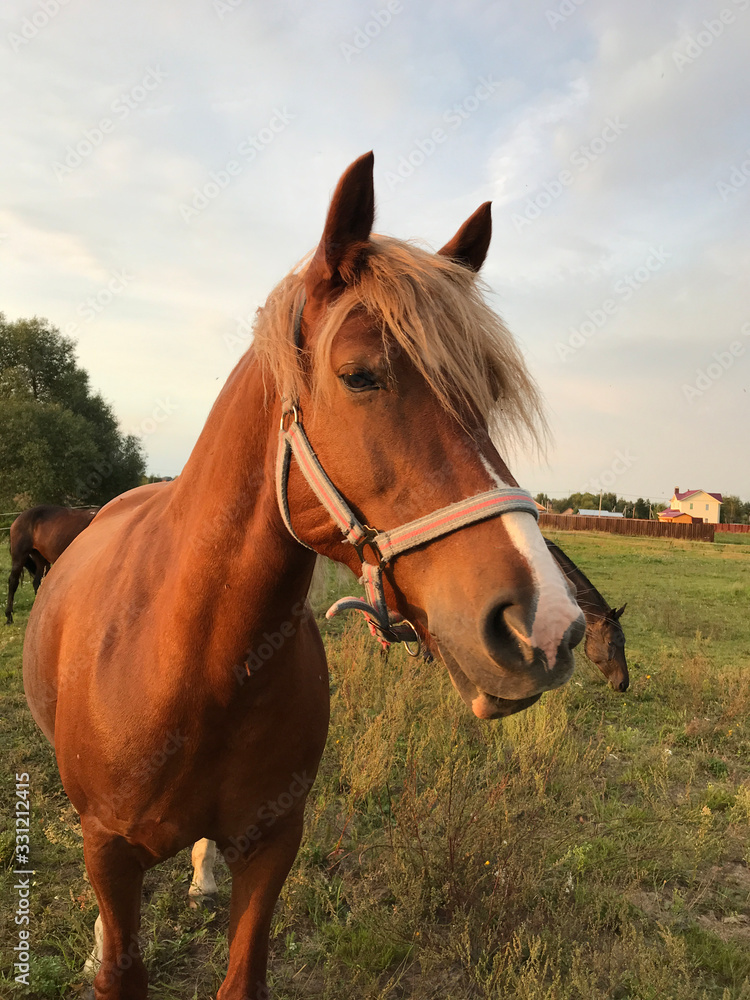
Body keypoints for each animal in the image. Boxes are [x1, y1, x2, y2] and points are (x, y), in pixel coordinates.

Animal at [23, 152, 586, 1000]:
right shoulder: (110, 855)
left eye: (485, 395)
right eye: (359, 375)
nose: (545, 624)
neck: (193, 662)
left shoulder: (273, 847)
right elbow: (119, 961)